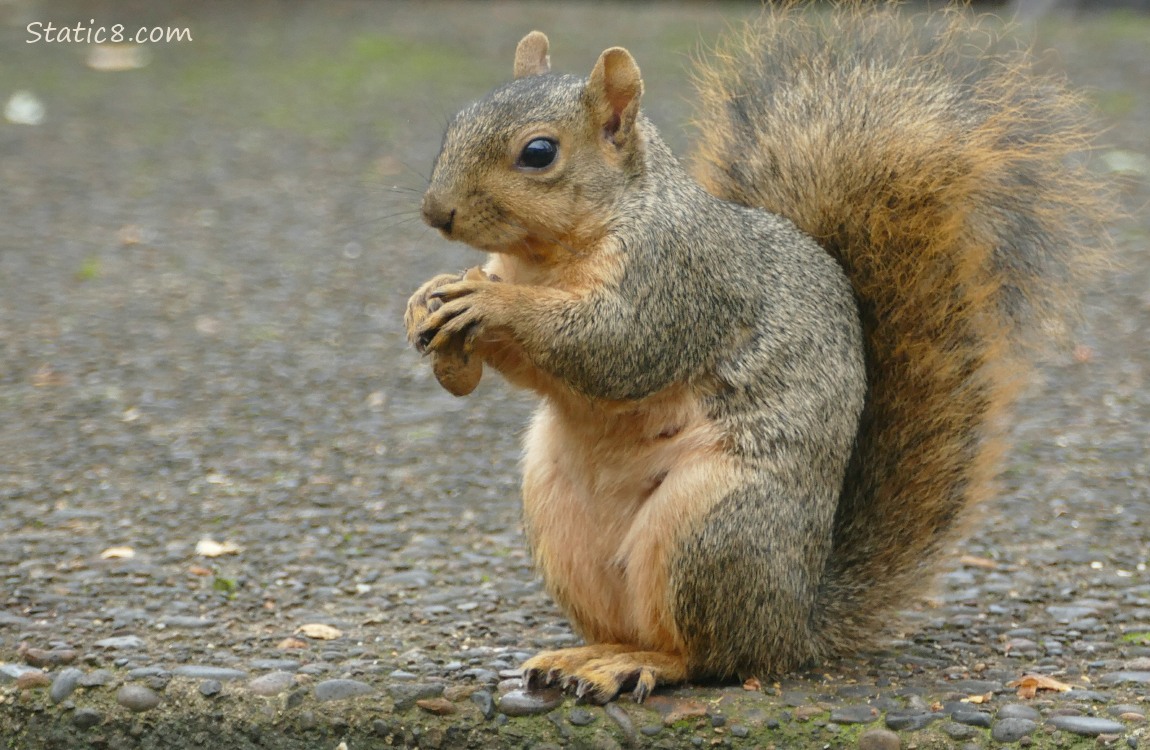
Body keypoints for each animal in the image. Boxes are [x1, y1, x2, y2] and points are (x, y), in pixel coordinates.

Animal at [402, 2, 1104, 703]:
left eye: (539, 153)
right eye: (458, 122)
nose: (436, 213)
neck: (544, 258)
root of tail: (797, 623)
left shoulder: (681, 280)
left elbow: (615, 345)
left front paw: (491, 303)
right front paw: (426, 303)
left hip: (714, 530)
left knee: (711, 655)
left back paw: (638, 665)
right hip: (561, 521)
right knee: (643, 627)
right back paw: (590, 655)